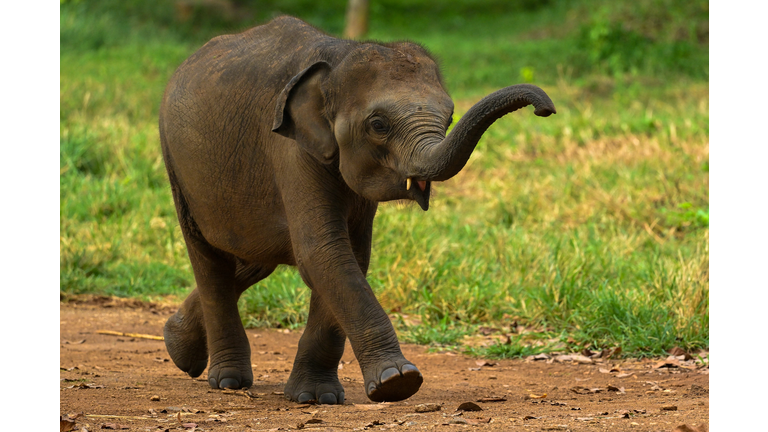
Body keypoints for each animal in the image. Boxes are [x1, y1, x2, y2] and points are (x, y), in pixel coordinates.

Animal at [158, 14, 552, 404]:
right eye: (378, 125)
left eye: (450, 118)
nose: (545, 108)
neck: (336, 60)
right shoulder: (292, 152)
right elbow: (325, 253)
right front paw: (398, 382)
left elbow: (350, 257)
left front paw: (317, 397)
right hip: (177, 165)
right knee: (211, 261)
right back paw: (227, 380)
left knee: (254, 258)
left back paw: (178, 346)